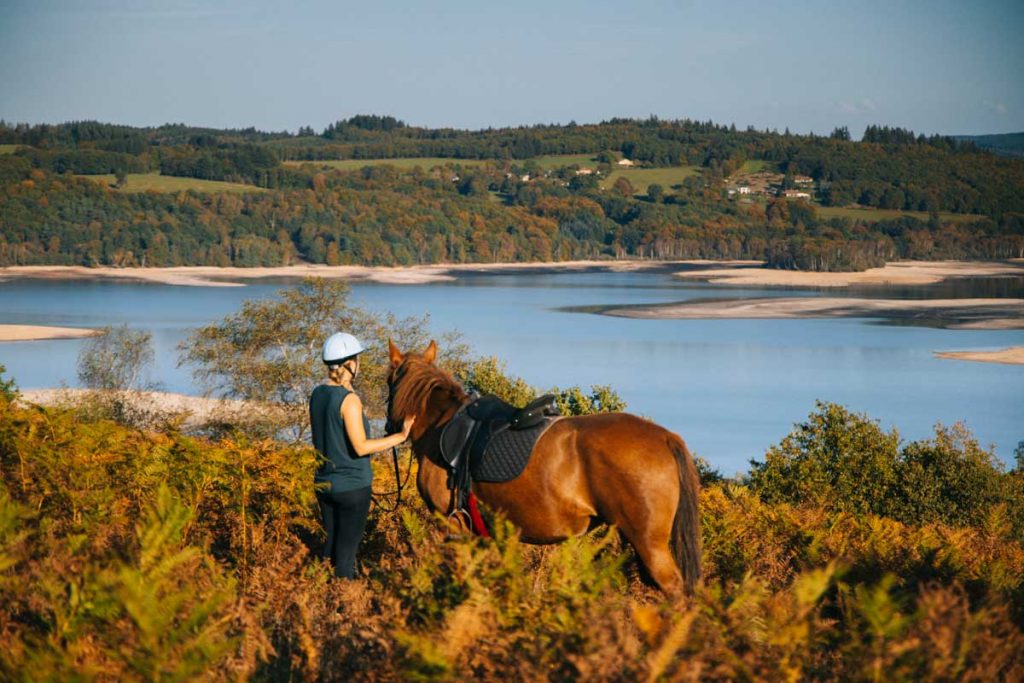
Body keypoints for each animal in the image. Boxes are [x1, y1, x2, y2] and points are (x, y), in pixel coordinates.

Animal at [385, 339, 702, 594]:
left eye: (389, 381)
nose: (390, 427)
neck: (441, 424)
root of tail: (665, 437)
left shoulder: (452, 524)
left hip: (649, 544)